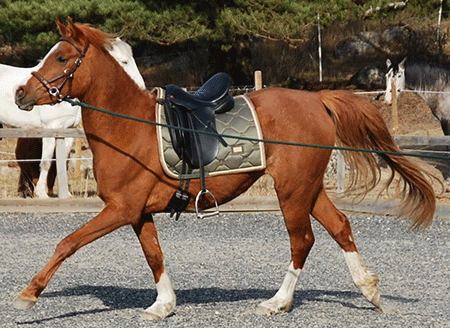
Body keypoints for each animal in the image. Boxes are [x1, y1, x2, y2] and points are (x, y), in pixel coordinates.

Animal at [0, 37, 145, 197]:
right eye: (125, 61)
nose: (141, 86)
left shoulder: (68, 131)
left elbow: (62, 162)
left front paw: (66, 194)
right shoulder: (50, 129)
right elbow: (46, 162)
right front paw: (41, 193)